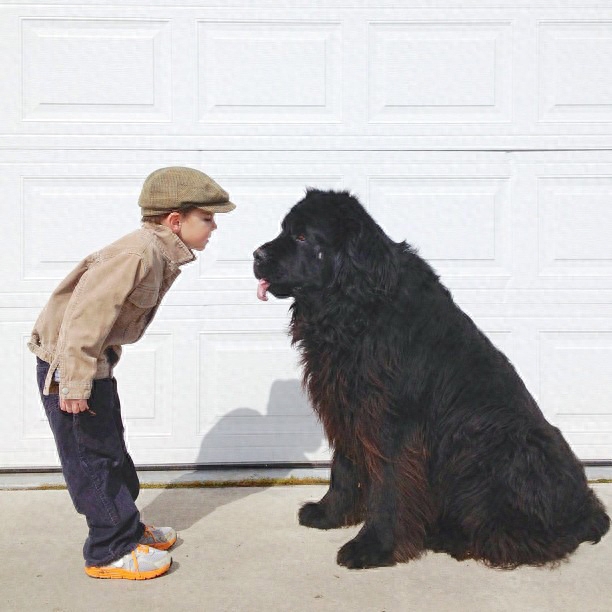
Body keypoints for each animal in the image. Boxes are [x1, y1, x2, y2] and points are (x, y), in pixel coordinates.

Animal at [252, 188, 608, 568]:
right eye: (284, 230)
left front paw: (373, 546)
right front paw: (328, 513)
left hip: (493, 449)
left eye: (302, 237)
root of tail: (585, 509)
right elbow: (344, 468)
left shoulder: (393, 421)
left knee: (538, 539)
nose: (255, 255)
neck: (356, 306)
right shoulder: (346, 406)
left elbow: (389, 484)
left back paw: (453, 537)